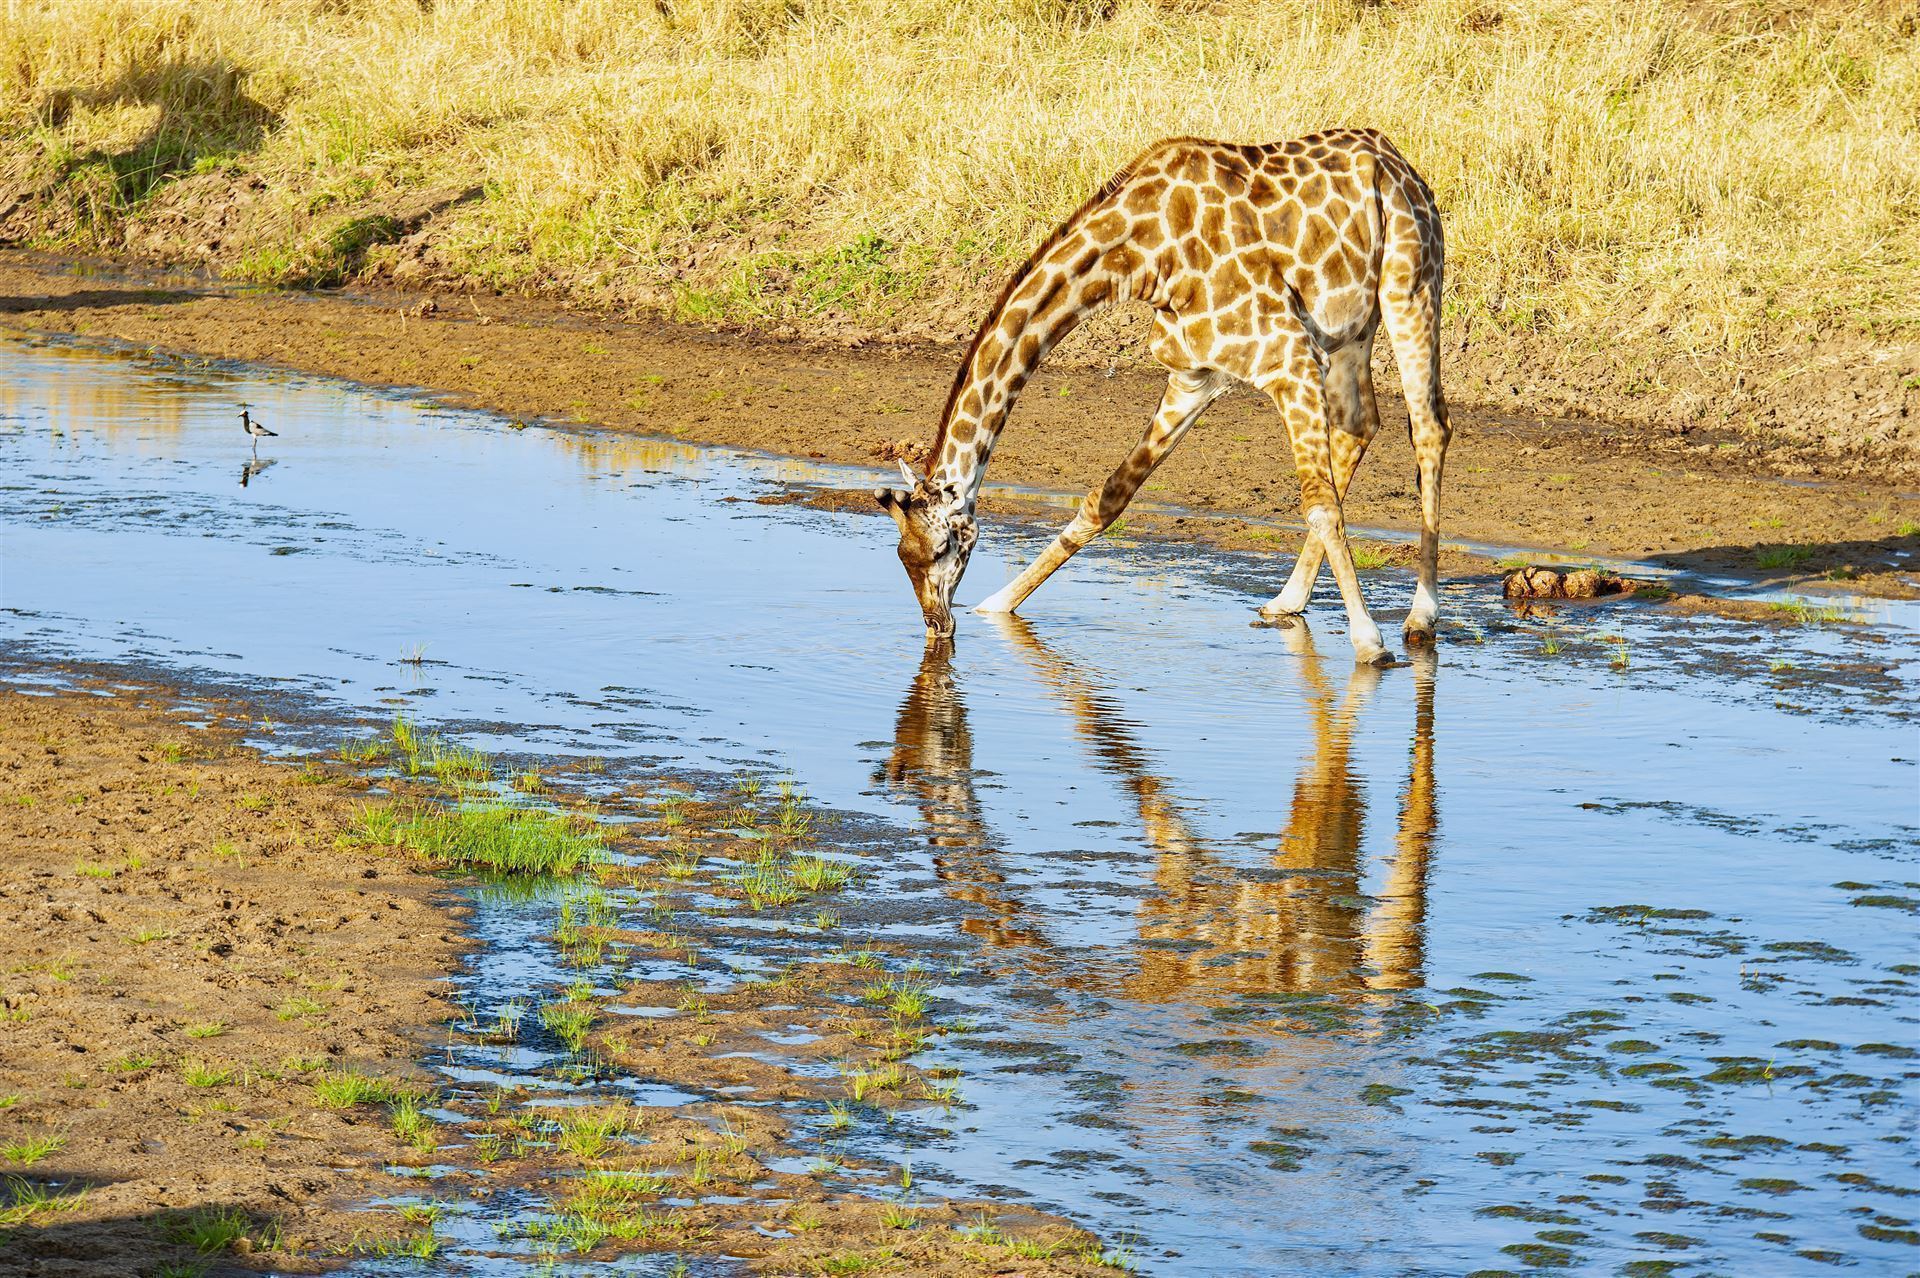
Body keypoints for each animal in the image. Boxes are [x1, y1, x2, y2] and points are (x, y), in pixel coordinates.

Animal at [875, 128, 1449, 665]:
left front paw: (1369, 643)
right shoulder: (1195, 376)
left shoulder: (1289, 358)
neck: (1141, 256)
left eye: (946, 546)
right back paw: (1287, 600)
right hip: (1351, 331)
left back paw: (1420, 618)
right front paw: (997, 606)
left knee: (1429, 427)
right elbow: (1107, 499)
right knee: (1361, 423)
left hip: (1410, 287)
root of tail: (1399, 161)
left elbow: (1320, 505)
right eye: (902, 555)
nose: (938, 625)